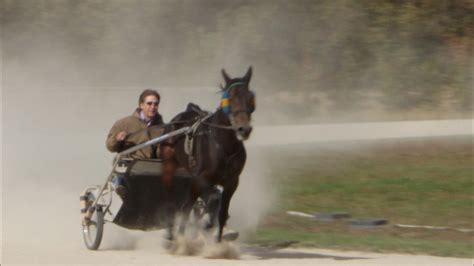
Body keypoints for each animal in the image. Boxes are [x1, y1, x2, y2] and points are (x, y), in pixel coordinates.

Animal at [160, 66, 258, 241]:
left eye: (250, 99)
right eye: (230, 99)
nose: (244, 129)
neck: (224, 146)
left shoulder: (232, 181)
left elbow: (221, 212)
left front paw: (217, 241)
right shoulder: (201, 178)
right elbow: (197, 205)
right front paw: (186, 237)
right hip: (169, 164)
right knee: (173, 202)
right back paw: (172, 235)